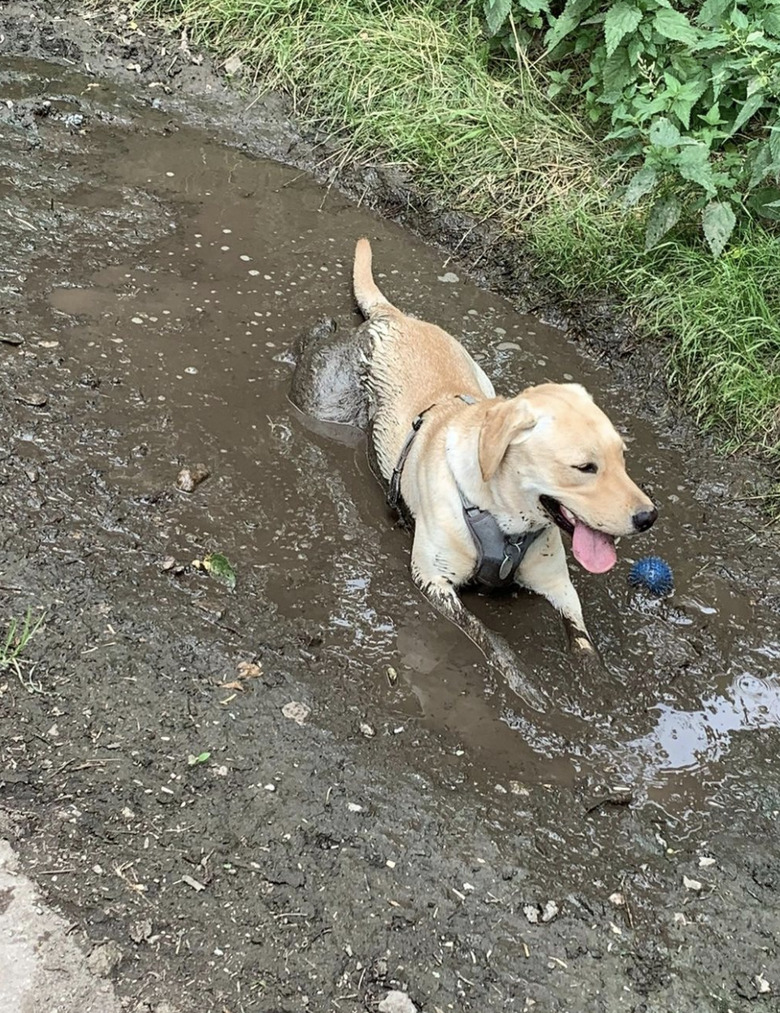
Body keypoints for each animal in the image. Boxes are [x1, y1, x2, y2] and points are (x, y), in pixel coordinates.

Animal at [287, 241, 652, 709]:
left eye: (622, 458)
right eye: (584, 467)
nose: (648, 517)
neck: (503, 517)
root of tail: (394, 318)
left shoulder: (557, 583)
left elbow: (583, 637)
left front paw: (599, 680)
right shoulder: (433, 580)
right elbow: (491, 639)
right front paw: (525, 685)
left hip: (480, 375)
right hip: (326, 400)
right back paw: (319, 328)